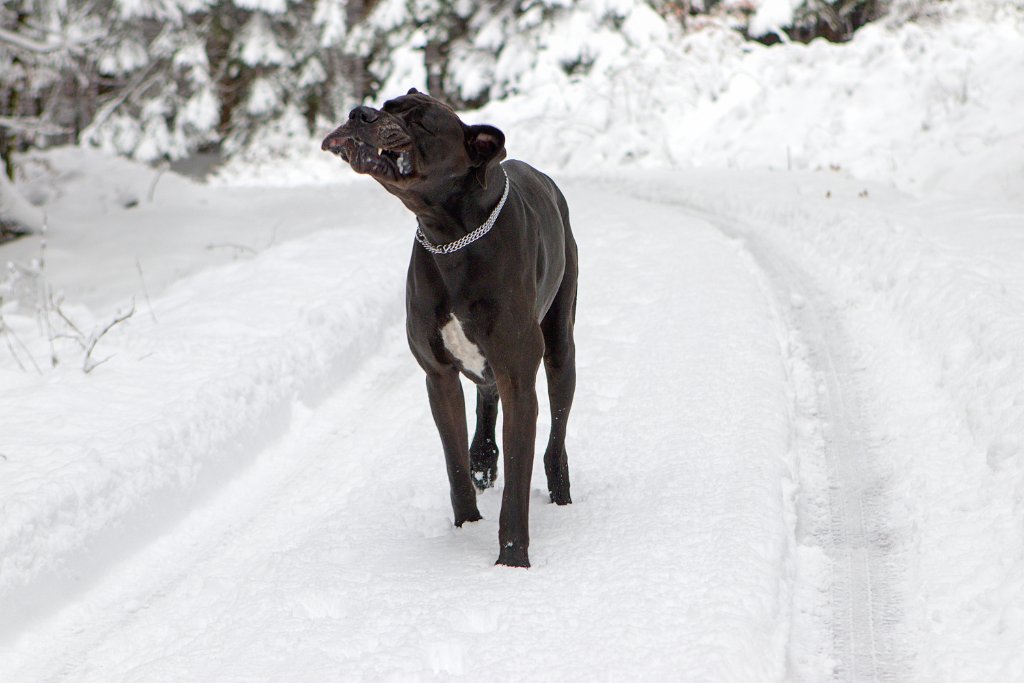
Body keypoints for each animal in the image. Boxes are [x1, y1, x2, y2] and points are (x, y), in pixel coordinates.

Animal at [319, 88, 577, 565]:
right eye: (387, 104)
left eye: (420, 122)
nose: (360, 113)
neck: (451, 236)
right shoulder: (438, 377)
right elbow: (453, 460)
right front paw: (466, 525)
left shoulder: (519, 379)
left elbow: (518, 477)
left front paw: (512, 559)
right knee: (486, 400)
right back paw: (483, 460)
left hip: (560, 348)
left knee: (557, 431)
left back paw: (560, 488)